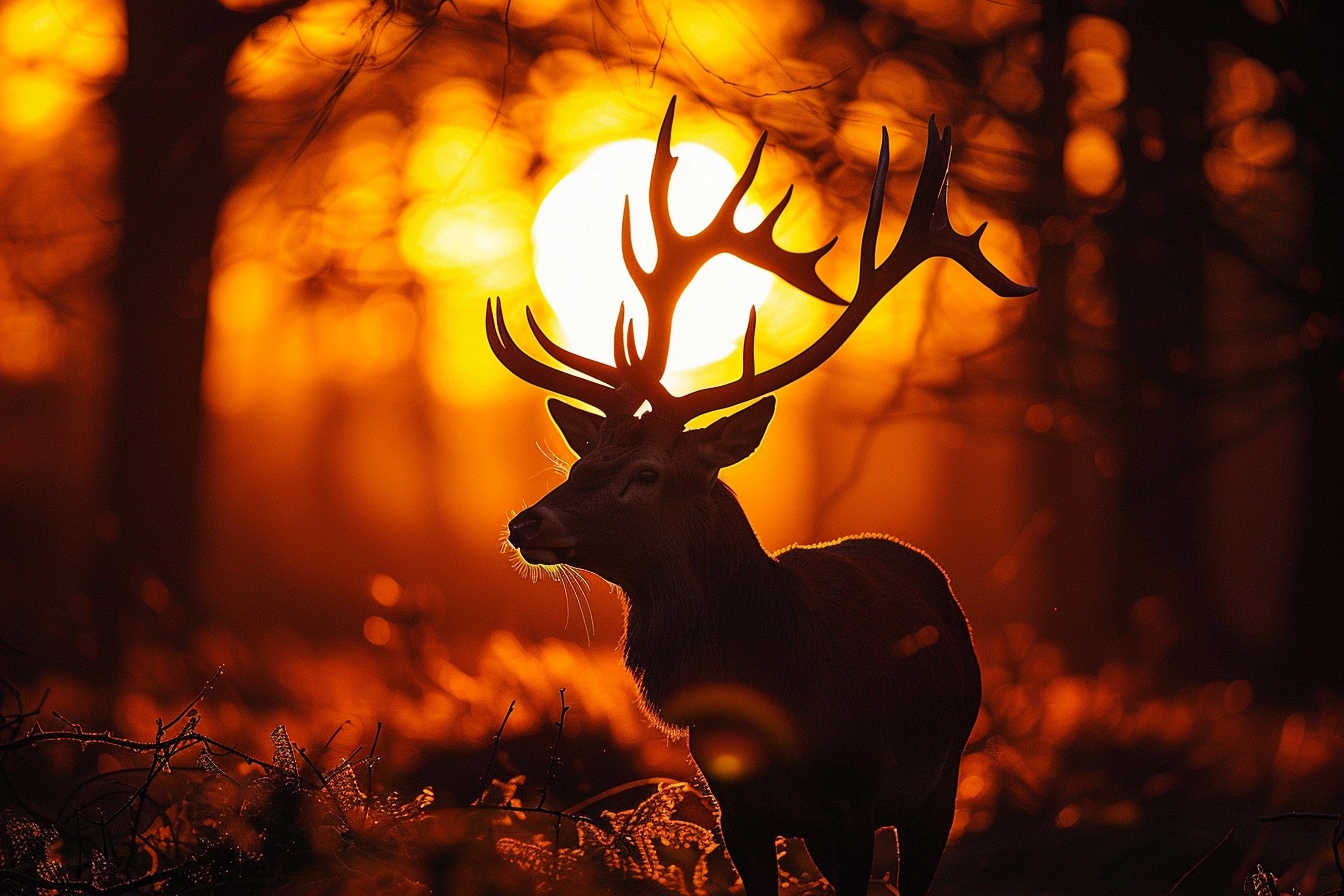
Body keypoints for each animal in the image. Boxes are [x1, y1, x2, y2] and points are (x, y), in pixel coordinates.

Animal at [487, 98, 1032, 896]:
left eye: (646, 474)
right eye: (581, 459)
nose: (526, 522)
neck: (772, 684)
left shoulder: (853, 804)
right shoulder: (736, 810)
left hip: (945, 775)